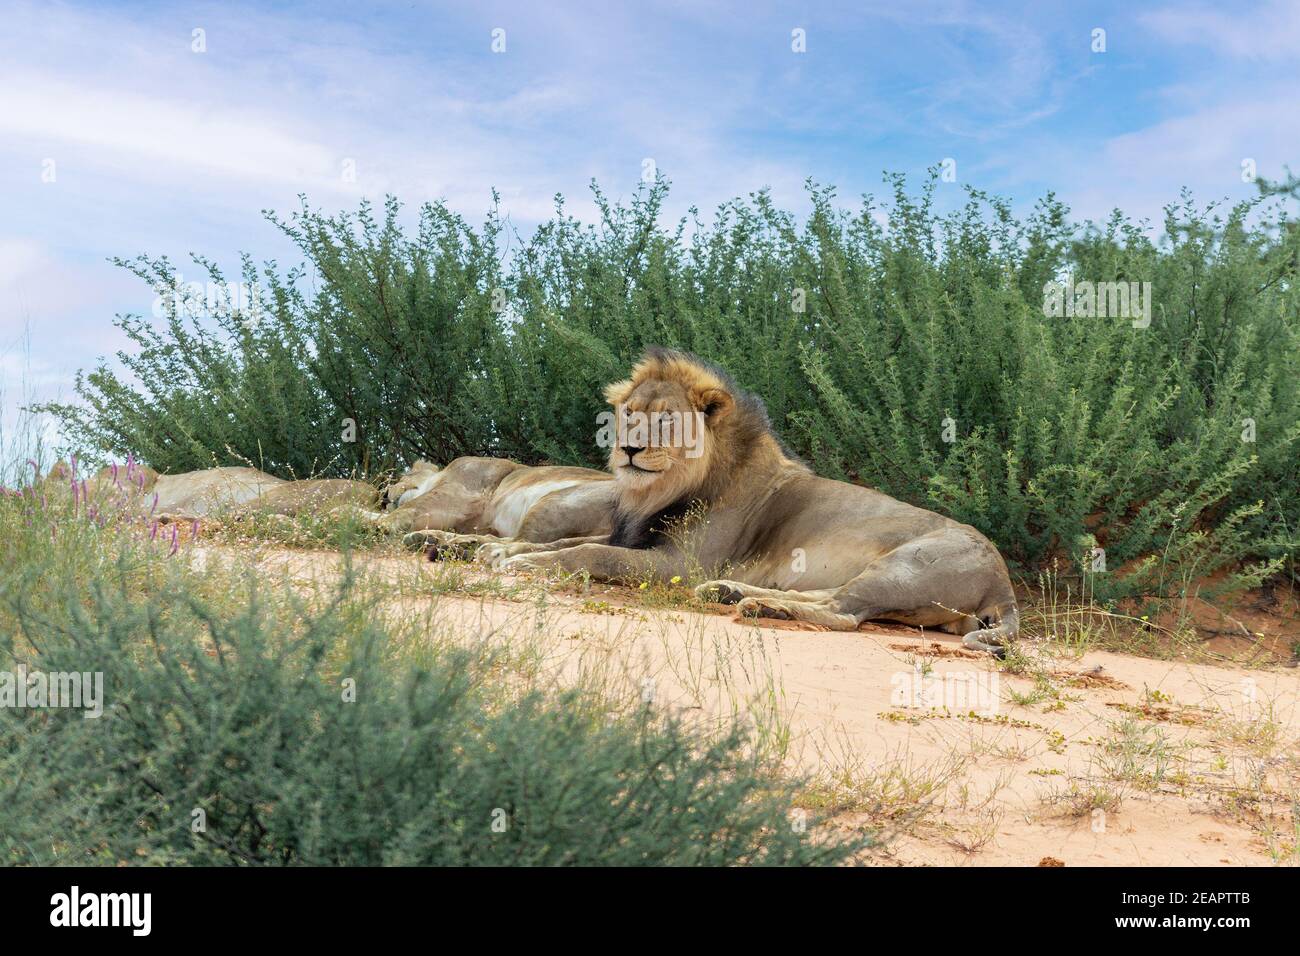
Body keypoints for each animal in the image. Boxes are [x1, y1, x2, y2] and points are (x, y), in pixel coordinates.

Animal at [491, 351, 1019, 658]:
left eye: (666, 421)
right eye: (630, 415)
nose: (628, 449)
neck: (657, 491)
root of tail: (1004, 583)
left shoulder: (677, 565)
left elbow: (591, 552)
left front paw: (524, 563)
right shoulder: (635, 535)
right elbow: (575, 540)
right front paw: (505, 551)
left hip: (904, 567)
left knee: (845, 613)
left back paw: (762, 607)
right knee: (830, 597)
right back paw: (733, 593)